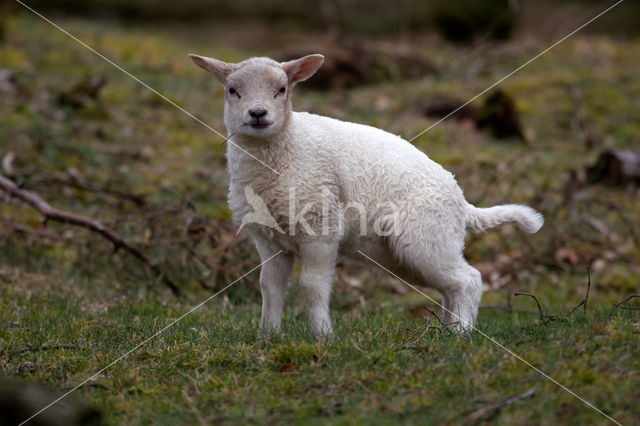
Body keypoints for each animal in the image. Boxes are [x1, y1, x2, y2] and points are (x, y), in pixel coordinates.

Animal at [188, 53, 544, 338]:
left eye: (282, 89)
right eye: (232, 90)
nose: (258, 113)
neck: (284, 150)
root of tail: (462, 202)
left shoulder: (321, 227)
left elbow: (312, 286)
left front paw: (323, 336)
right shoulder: (269, 238)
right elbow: (269, 287)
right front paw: (268, 336)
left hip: (425, 236)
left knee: (468, 280)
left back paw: (461, 334)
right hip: (411, 251)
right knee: (451, 287)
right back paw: (448, 330)